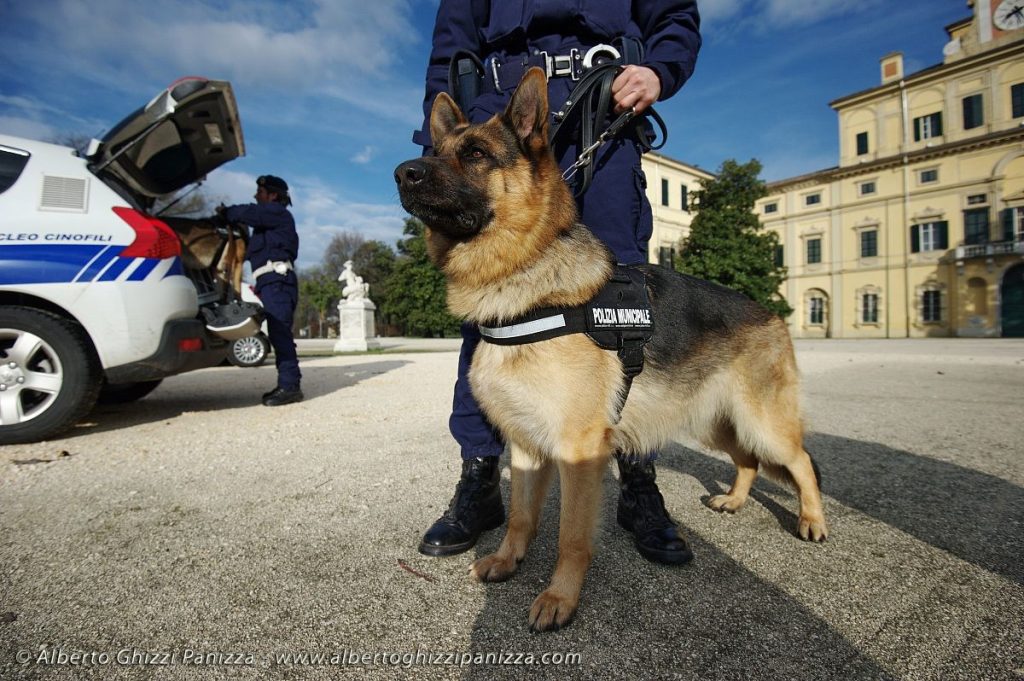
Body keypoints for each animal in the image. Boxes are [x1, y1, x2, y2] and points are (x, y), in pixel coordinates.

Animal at [395, 69, 827, 630]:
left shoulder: (578, 449)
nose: (402, 173)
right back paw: (734, 501)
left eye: (475, 154)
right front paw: (508, 562)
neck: (526, 276)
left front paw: (560, 598)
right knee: (750, 462)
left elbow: (570, 536)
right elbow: (520, 518)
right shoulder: (527, 446)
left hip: (760, 423)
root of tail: (773, 313)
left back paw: (813, 520)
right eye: (436, 150)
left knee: (800, 462)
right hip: (716, 423)